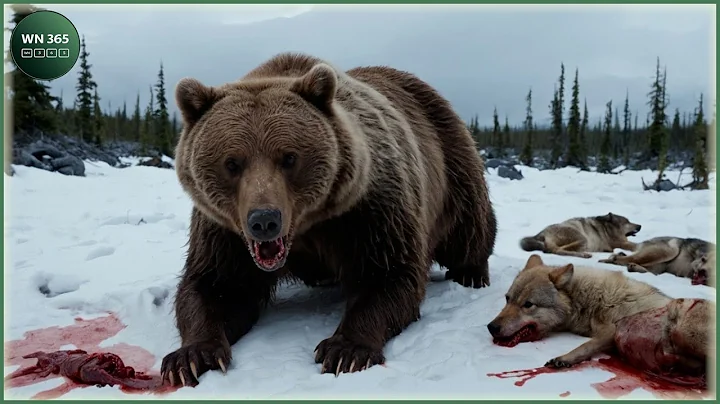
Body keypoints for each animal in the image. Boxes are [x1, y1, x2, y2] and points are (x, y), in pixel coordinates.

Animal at [161, 52, 497, 386]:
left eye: (289, 157)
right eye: (232, 162)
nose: (264, 220)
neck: (307, 227)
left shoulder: (368, 210)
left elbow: (388, 275)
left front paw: (345, 350)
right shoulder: (224, 231)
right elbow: (217, 286)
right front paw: (191, 357)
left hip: (450, 163)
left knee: (469, 229)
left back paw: (471, 274)